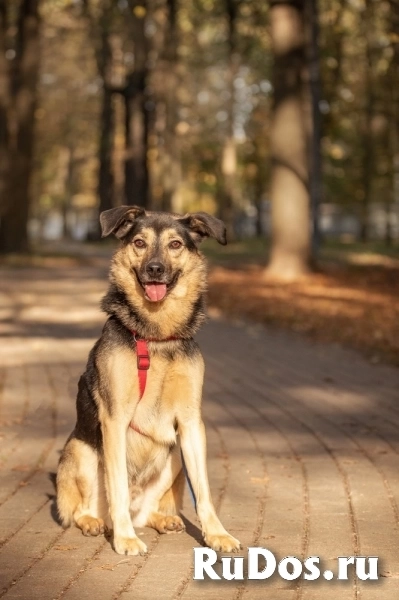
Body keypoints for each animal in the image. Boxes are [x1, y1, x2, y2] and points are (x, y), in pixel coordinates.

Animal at [56, 204, 242, 556]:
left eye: (175, 245)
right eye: (139, 243)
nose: (155, 269)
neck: (157, 336)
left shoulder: (191, 423)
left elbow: (204, 492)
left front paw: (217, 534)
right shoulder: (115, 420)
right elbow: (117, 486)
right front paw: (126, 539)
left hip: (174, 456)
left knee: (148, 510)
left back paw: (163, 519)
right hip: (80, 449)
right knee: (83, 508)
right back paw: (97, 523)